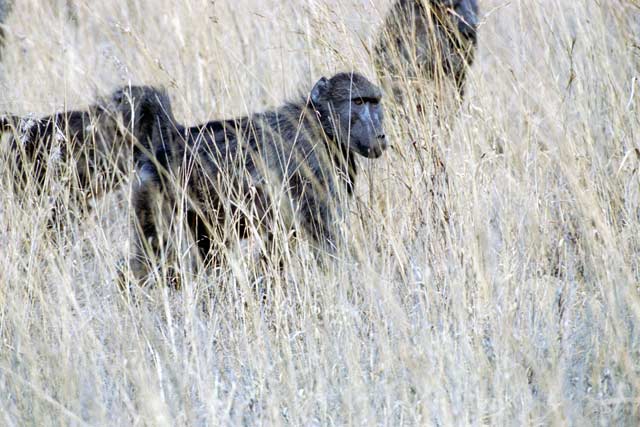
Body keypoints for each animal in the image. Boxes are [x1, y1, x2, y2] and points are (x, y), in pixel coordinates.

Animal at [126, 72, 387, 282]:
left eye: (375, 102)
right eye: (359, 101)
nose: (380, 135)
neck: (322, 126)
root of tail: (171, 136)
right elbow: (325, 239)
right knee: (152, 254)